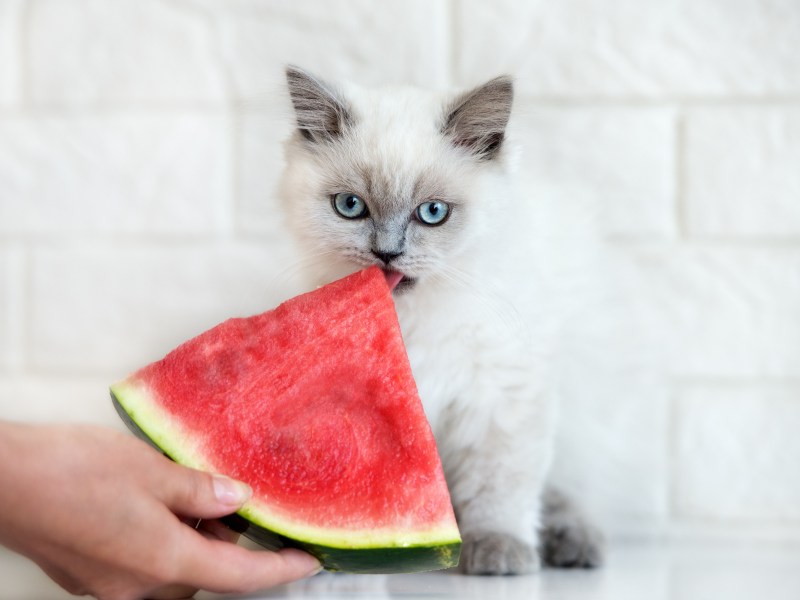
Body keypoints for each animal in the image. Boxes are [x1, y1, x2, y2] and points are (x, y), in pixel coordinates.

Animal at [278, 67, 604, 576]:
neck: (410, 322)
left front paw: (496, 551)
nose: (387, 253)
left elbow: (498, 488)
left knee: (564, 494)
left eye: (433, 213)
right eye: (350, 206)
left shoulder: (500, 397)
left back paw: (572, 545)